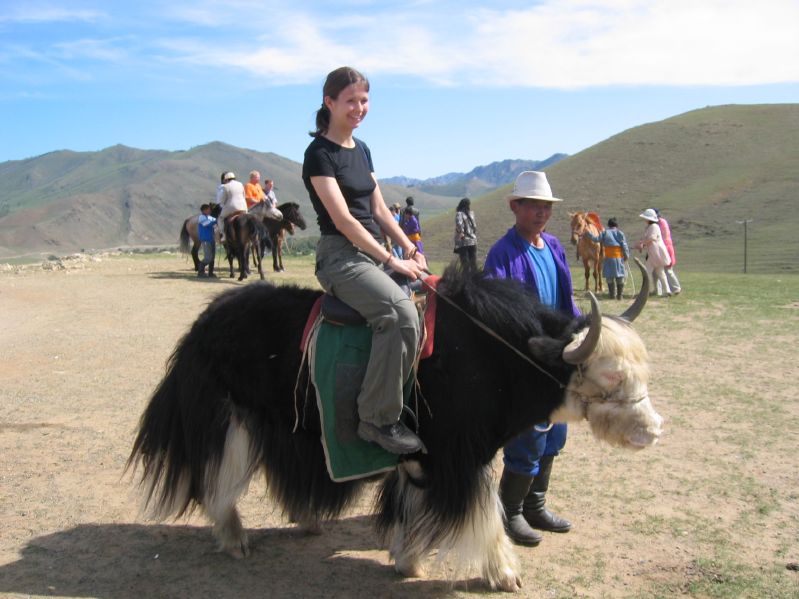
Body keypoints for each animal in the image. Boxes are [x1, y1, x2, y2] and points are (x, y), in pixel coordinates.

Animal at [126, 264, 664, 592]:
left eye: (644, 369)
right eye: (608, 377)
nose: (652, 431)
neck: (497, 355)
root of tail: (202, 325)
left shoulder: (423, 460)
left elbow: (412, 507)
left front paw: (407, 561)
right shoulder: (455, 456)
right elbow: (485, 512)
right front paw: (505, 574)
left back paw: (306, 520)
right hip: (232, 419)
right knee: (218, 479)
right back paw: (235, 539)